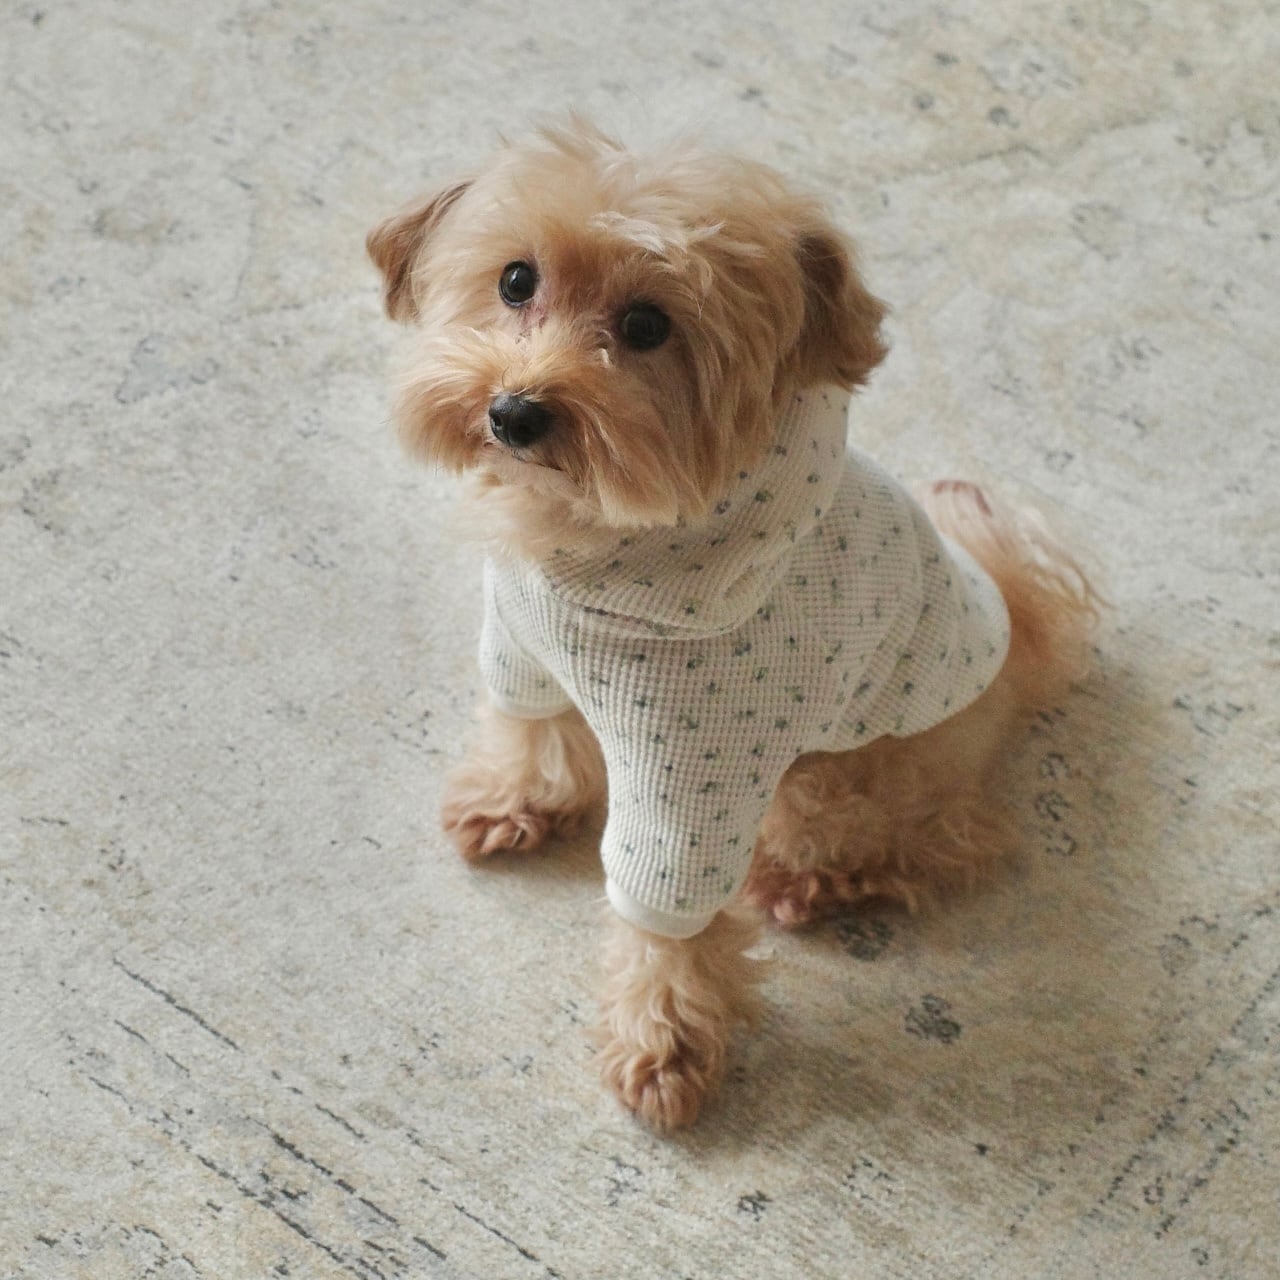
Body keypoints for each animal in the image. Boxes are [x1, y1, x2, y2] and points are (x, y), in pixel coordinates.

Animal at [367, 120, 1097, 1132]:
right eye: (516, 280)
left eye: (647, 327)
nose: (513, 413)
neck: (592, 541)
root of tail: (1016, 635)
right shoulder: (523, 648)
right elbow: (531, 729)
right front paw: (516, 799)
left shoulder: (695, 777)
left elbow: (665, 919)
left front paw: (662, 1040)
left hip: (848, 772)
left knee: (938, 840)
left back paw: (811, 880)